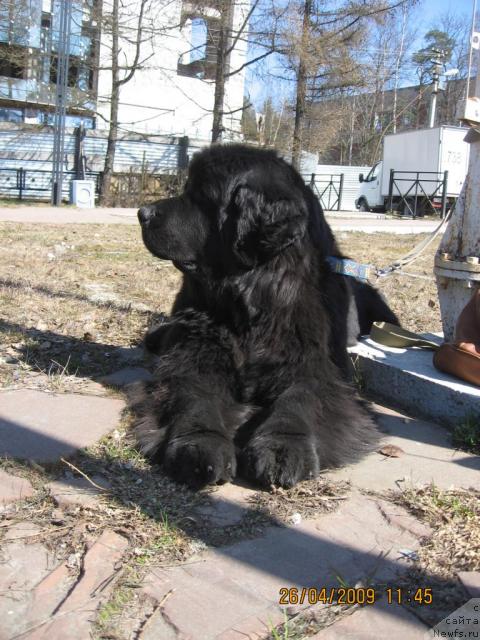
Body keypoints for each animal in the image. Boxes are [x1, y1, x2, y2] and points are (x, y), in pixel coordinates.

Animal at [131, 145, 398, 488]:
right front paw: (199, 445)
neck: (254, 299)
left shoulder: (313, 366)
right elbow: (196, 396)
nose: (142, 213)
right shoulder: (194, 356)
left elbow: (299, 400)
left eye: (201, 197)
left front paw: (283, 448)